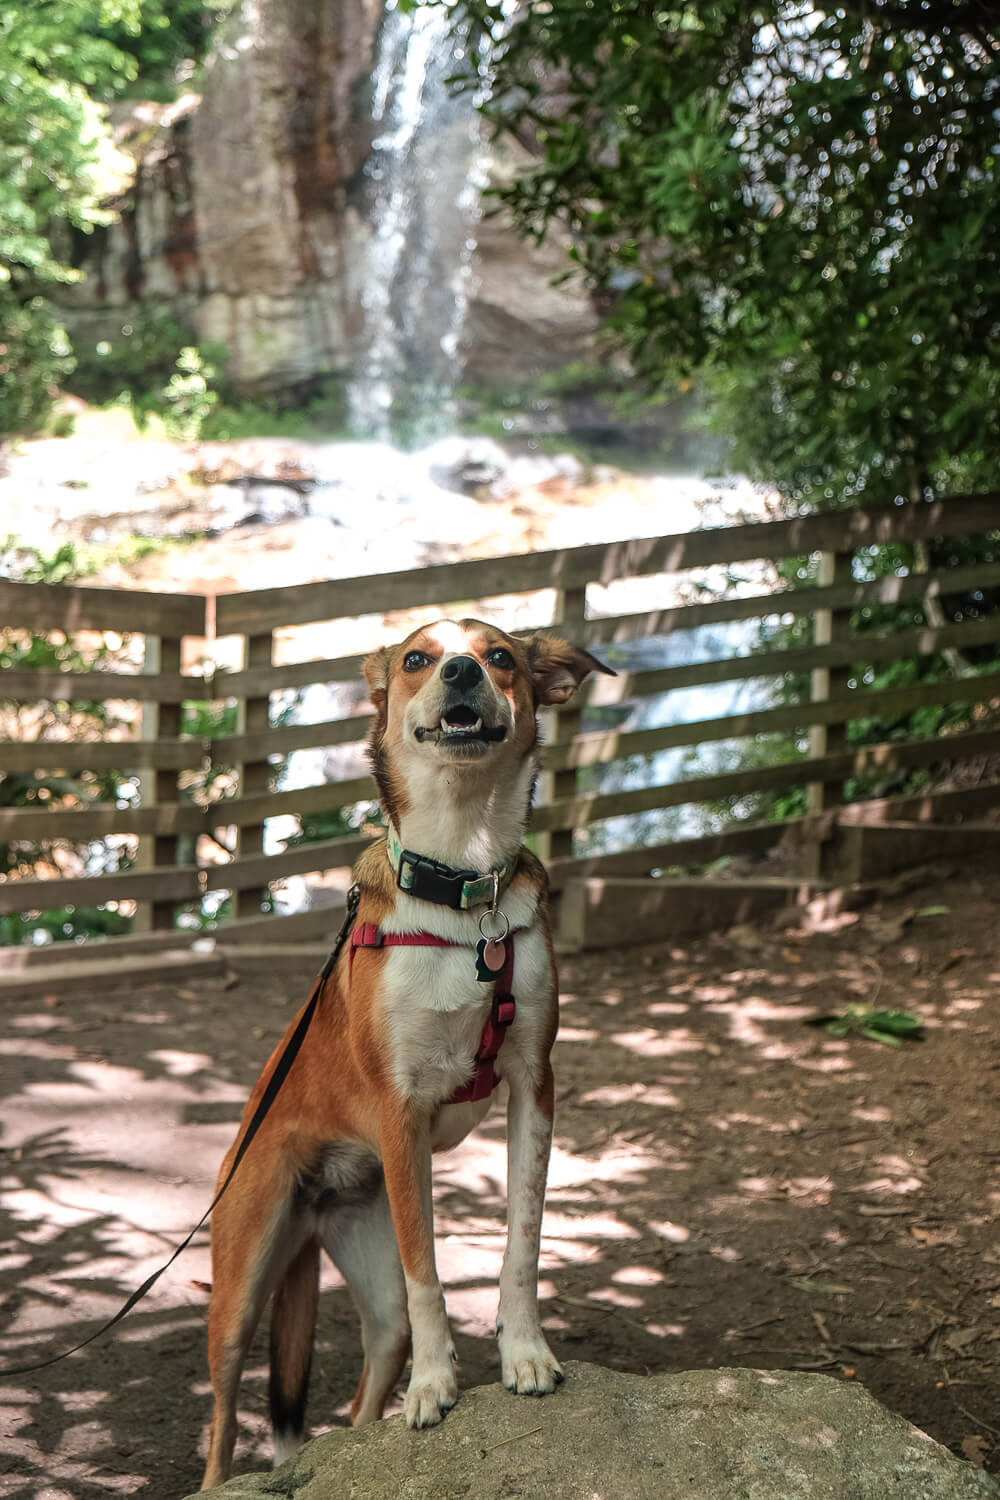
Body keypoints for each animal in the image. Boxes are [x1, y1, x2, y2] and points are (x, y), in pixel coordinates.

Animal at [199, 615, 614, 1482]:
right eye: (419, 658)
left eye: (501, 657)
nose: (460, 672)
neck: (463, 888)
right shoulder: (401, 1111)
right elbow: (430, 1273)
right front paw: (434, 1388)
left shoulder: (534, 1085)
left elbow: (523, 1240)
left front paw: (525, 1354)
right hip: (241, 1282)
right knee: (221, 1420)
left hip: (368, 1266)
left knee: (366, 1390)